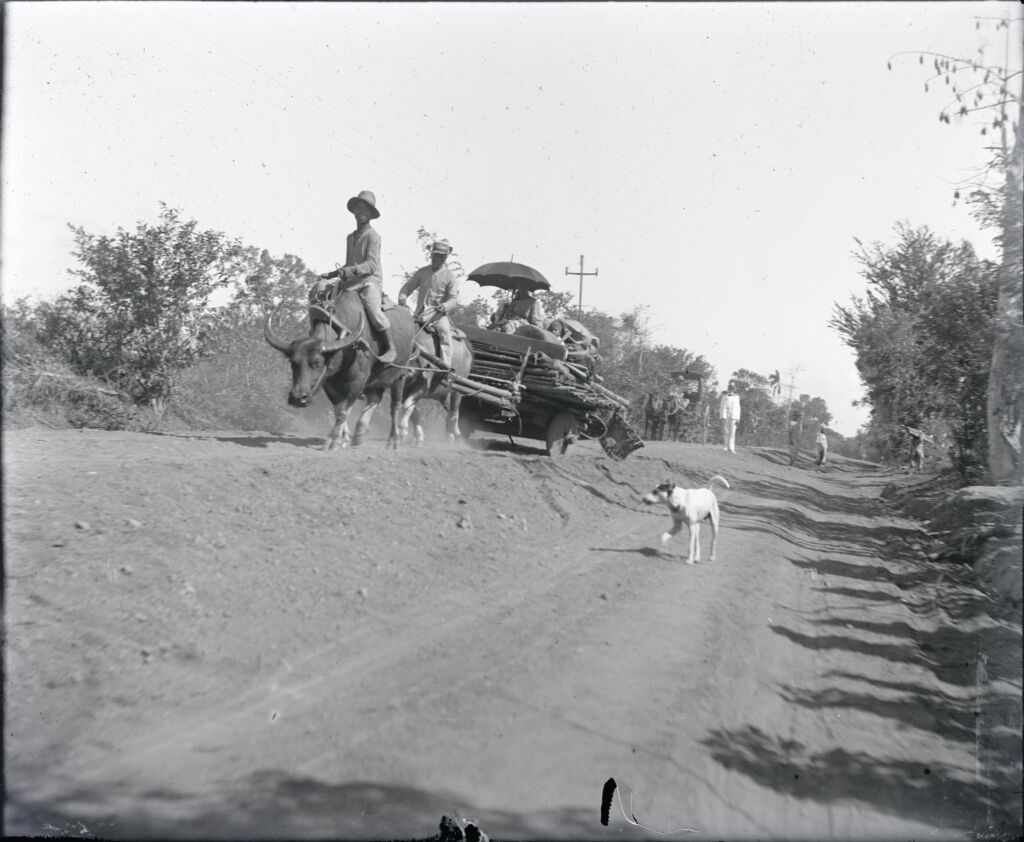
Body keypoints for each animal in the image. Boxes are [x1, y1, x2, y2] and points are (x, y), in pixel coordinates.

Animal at [268, 290, 419, 450]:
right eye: (293, 362)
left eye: (317, 362)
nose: (297, 398)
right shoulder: (329, 385)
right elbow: (338, 410)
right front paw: (344, 438)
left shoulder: (357, 382)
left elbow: (343, 412)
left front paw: (333, 440)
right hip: (375, 381)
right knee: (375, 399)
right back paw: (360, 433)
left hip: (399, 376)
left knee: (395, 407)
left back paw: (393, 440)